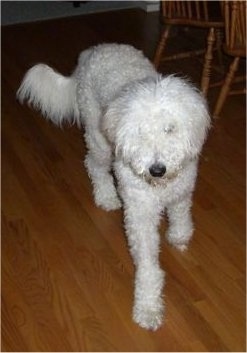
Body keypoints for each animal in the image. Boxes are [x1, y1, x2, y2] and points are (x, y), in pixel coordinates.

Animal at [17, 43, 210, 330]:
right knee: (94, 166)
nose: (157, 169)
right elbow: (148, 267)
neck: (159, 185)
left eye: (170, 128)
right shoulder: (140, 215)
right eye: (140, 131)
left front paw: (179, 235)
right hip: (99, 140)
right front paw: (148, 308)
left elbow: (181, 212)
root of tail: (92, 52)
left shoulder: (182, 190)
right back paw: (106, 197)